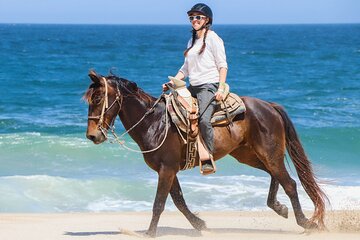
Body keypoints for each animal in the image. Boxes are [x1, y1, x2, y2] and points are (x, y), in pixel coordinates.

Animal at [83, 70, 326, 237]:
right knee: (275, 176)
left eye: (98, 99)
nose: (92, 135)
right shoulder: (169, 170)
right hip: (249, 155)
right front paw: (200, 224)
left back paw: (306, 223)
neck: (155, 122)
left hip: (269, 153)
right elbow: (179, 200)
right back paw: (279, 208)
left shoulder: (167, 169)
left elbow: (160, 203)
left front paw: (150, 234)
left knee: (289, 183)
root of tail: (269, 105)